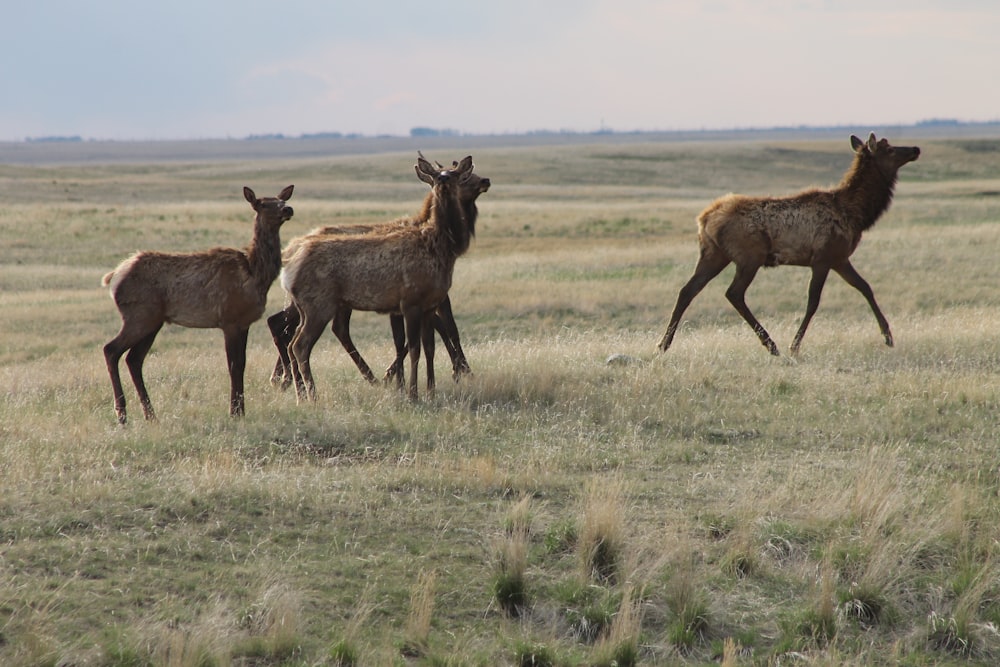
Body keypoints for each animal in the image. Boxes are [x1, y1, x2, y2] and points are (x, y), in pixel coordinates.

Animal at [103, 184, 294, 422]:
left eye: (282, 200)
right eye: (263, 204)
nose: (288, 209)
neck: (255, 275)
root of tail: (114, 278)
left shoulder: (243, 323)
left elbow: (241, 364)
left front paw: (240, 410)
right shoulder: (230, 319)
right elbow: (234, 365)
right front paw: (235, 412)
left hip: (152, 321)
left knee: (134, 359)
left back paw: (150, 415)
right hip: (138, 316)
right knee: (111, 350)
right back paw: (122, 415)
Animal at [262, 157, 488, 388]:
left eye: (456, 174)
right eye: (464, 177)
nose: (485, 181)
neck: (444, 248)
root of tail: (289, 256)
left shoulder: (420, 303)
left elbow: (424, 343)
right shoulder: (413, 301)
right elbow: (432, 336)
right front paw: (423, 381)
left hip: (315, 306)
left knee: (295, 332)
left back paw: (291, 381)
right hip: (320, 305)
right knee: (301, 340)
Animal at [660, 132, 916, 358]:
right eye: (889, 149)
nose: (915, 149)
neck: (856, 214)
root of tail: (704, 219)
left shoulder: (840, 258)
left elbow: (865, 287)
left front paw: (888, 336)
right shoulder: (822, 258)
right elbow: (813, 302)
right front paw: (795, 346)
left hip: (714, 254)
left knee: (688, 290)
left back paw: (663, 344)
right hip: (749, 256)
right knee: (734, 293)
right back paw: (771, 345)